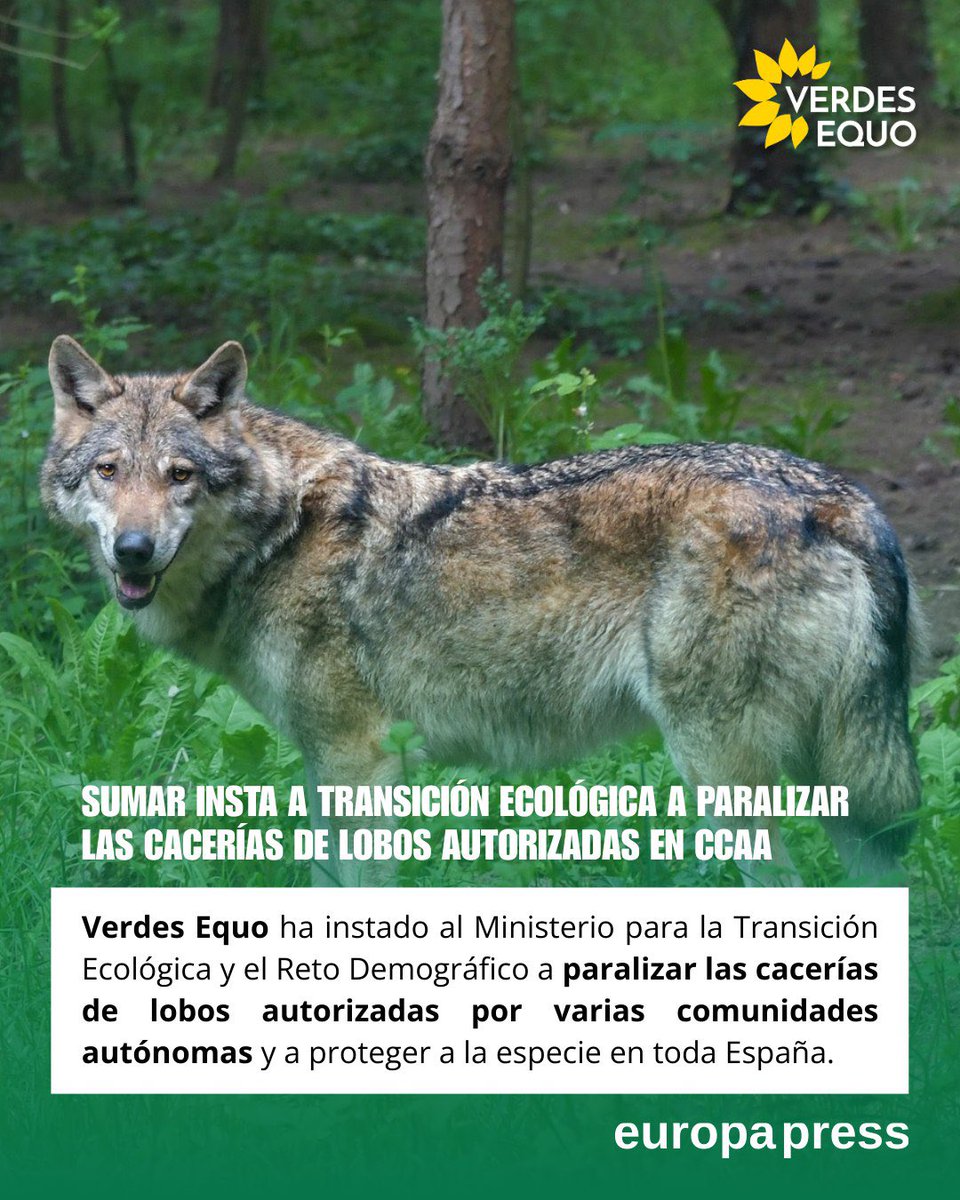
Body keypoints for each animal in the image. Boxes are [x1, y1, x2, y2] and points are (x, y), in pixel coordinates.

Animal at [42, 335, 924, 886]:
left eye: (181, 475)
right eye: (109, 471)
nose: (133, 550)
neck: (282, 532)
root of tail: (841, 499)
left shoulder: (361, 762)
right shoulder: (325, 767)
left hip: (727, 777)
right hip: (835, 781)